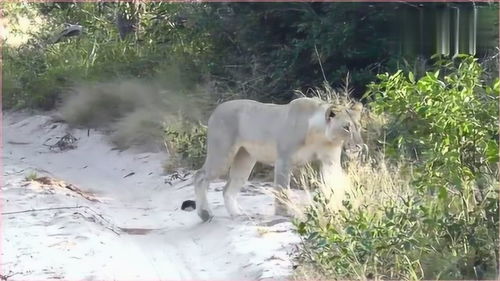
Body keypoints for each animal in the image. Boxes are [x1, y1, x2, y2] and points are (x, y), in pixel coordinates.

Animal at [192, 96, 364, 221]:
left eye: (358, 126)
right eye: (346, 127)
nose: (359, 146)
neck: (321, 135)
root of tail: (216, 110)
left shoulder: (330, 161)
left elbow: (335, 185)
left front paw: (340, 208)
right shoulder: (284, 159)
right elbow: (282, 189)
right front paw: (285, 213)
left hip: (245, 158)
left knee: (228, 188)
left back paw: (237, 214)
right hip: (222, 155)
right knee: (199, 176)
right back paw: (205, 214)